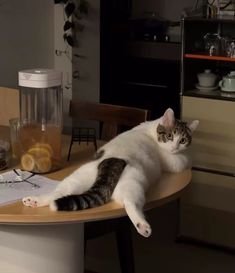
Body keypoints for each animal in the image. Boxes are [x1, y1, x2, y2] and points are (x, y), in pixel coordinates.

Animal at [22, 108, 199, 236]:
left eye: (183, 140)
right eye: (170, 136)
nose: (175, 147)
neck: (151, 129)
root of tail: (110, 162)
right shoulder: (172, 161)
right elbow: (185, 159)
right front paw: (190, 157)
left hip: (78, 177)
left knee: (58, 192)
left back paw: (34, 200)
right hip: (133, 183)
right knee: (130, 203)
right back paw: (142, 226)